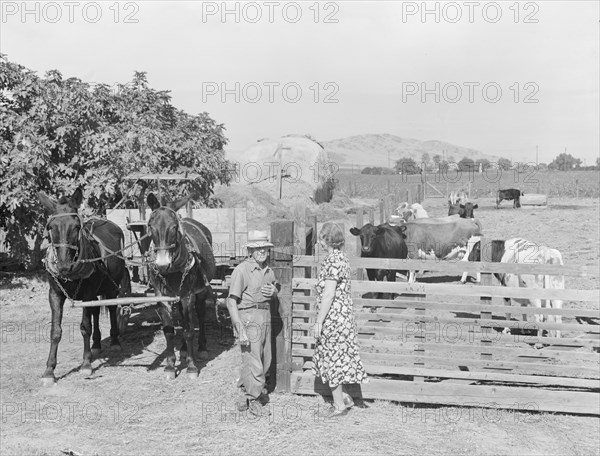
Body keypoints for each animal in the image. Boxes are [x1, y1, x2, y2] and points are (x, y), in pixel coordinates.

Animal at [38, 189, 129, 384]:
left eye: (76, 226)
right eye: (51, 227)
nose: (64, 266)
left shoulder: (87, 295)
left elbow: (85, 327)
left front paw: (86, 364)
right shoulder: (54, 294)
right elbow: (55, 330)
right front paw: (49, 370)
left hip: (112, 286)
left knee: (111, 308)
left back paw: (115, 341)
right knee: (96, 311)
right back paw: (96, 344)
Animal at [146, 192, 216, 378]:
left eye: (173, 227)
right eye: (150, 225)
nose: (162, 264)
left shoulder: (188, 295)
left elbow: (189, 330)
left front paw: (191, 367)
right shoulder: (162, 296)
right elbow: (169, 331)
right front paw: (170, 365)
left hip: (199, 292)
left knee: (199, 314)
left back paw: (202, 348)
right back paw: (184, 349)